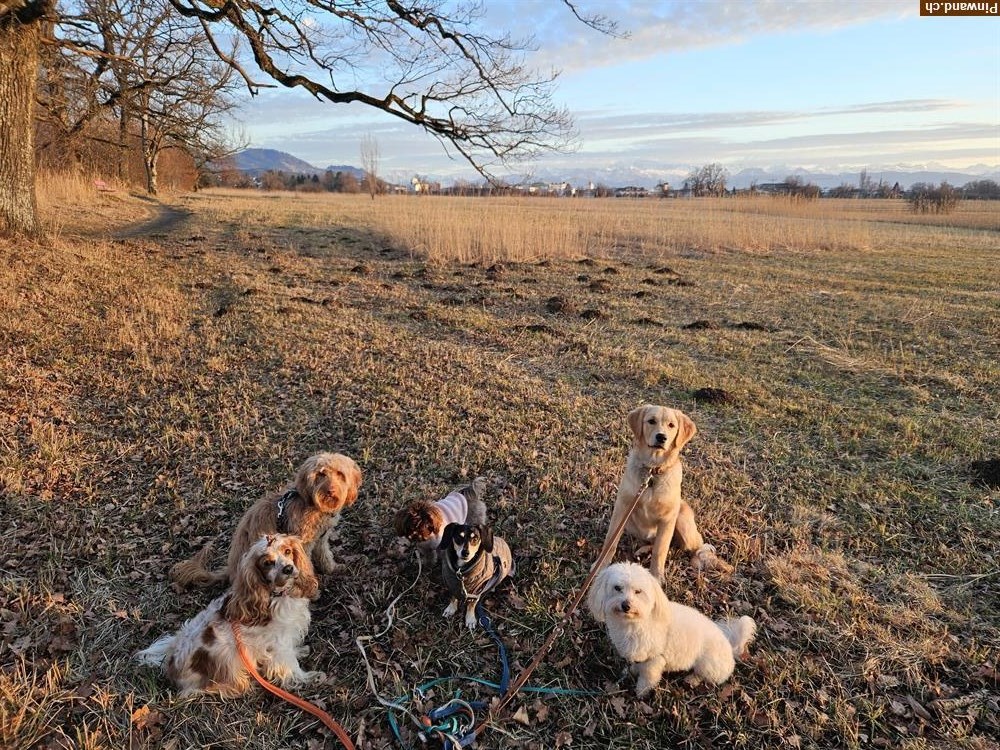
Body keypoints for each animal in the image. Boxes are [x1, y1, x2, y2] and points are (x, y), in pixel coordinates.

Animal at [172, 452, 364, 588]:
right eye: (321, 474)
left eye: (340, 474)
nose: (330, 491)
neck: (311, 503)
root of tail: (230, 571)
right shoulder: (302, 542)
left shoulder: (321, 539)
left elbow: (325, 555)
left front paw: (332, 568)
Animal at [584, 564, 752, 700]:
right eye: (617, 588)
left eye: (638, 591)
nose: (626, 605)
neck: (636, 622)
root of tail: (730, 646)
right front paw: (632, 670)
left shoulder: (655, 659)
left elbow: (647, 677)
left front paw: (641, 692)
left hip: (707, 664)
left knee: (705, 676)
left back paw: (692, 679)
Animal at [596, 402, 708, 584]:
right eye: (651, 421)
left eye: (671, 425)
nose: (661, 437)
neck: (652, 472)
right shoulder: (622, 509)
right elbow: (610, 542)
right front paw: (600, 566)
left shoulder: (668, 519)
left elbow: (660, 550)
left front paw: (656, 577)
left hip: (683, 523)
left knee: (693, 546)